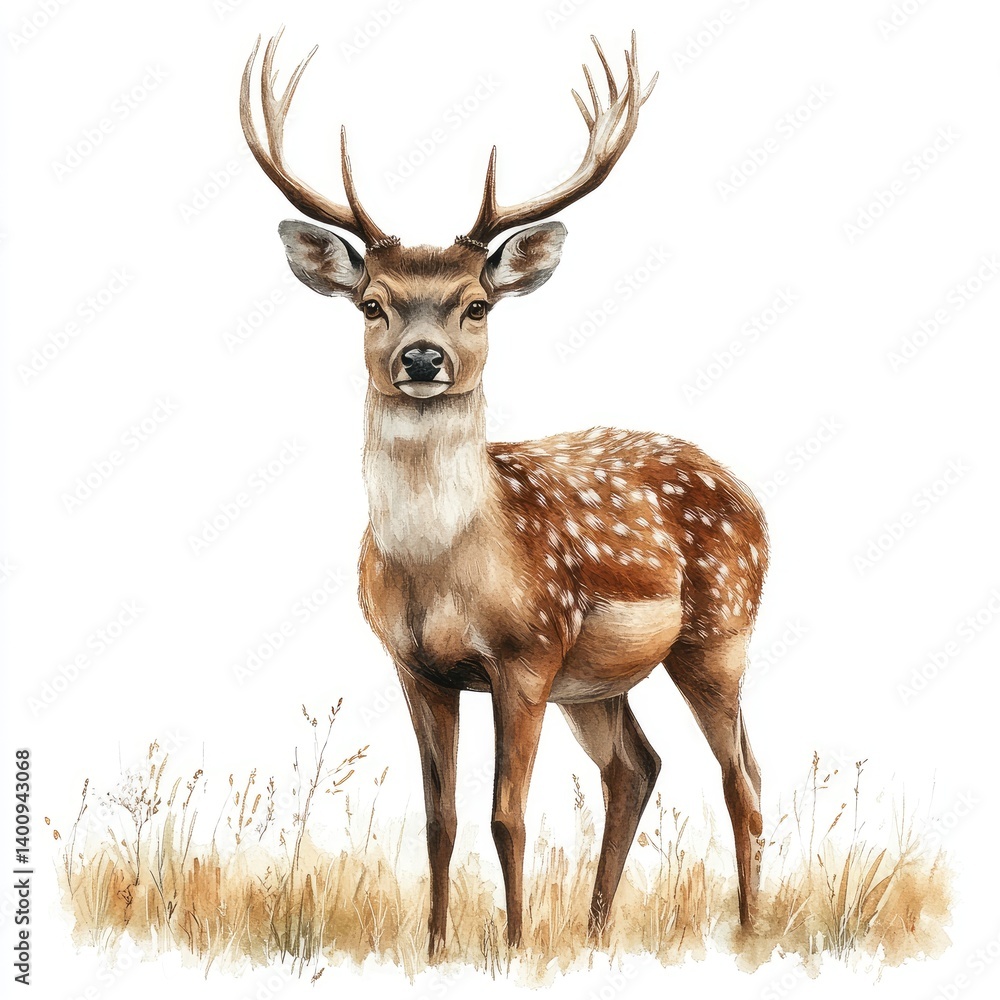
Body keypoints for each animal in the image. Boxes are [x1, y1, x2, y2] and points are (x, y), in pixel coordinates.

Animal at [241, 28, 768, 956]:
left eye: (477, 304)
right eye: (371, 304)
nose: (421, 358)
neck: (444, 568)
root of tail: (755, 504)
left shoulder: (526, 653)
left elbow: (505, 817)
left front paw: (515, 948)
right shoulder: (416, 668)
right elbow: (440, 820)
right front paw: (436, 948)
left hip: (717, 632)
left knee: (740, 780)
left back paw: (746, 928)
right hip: (599, 682)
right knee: (638, 768)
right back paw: (595, 932)